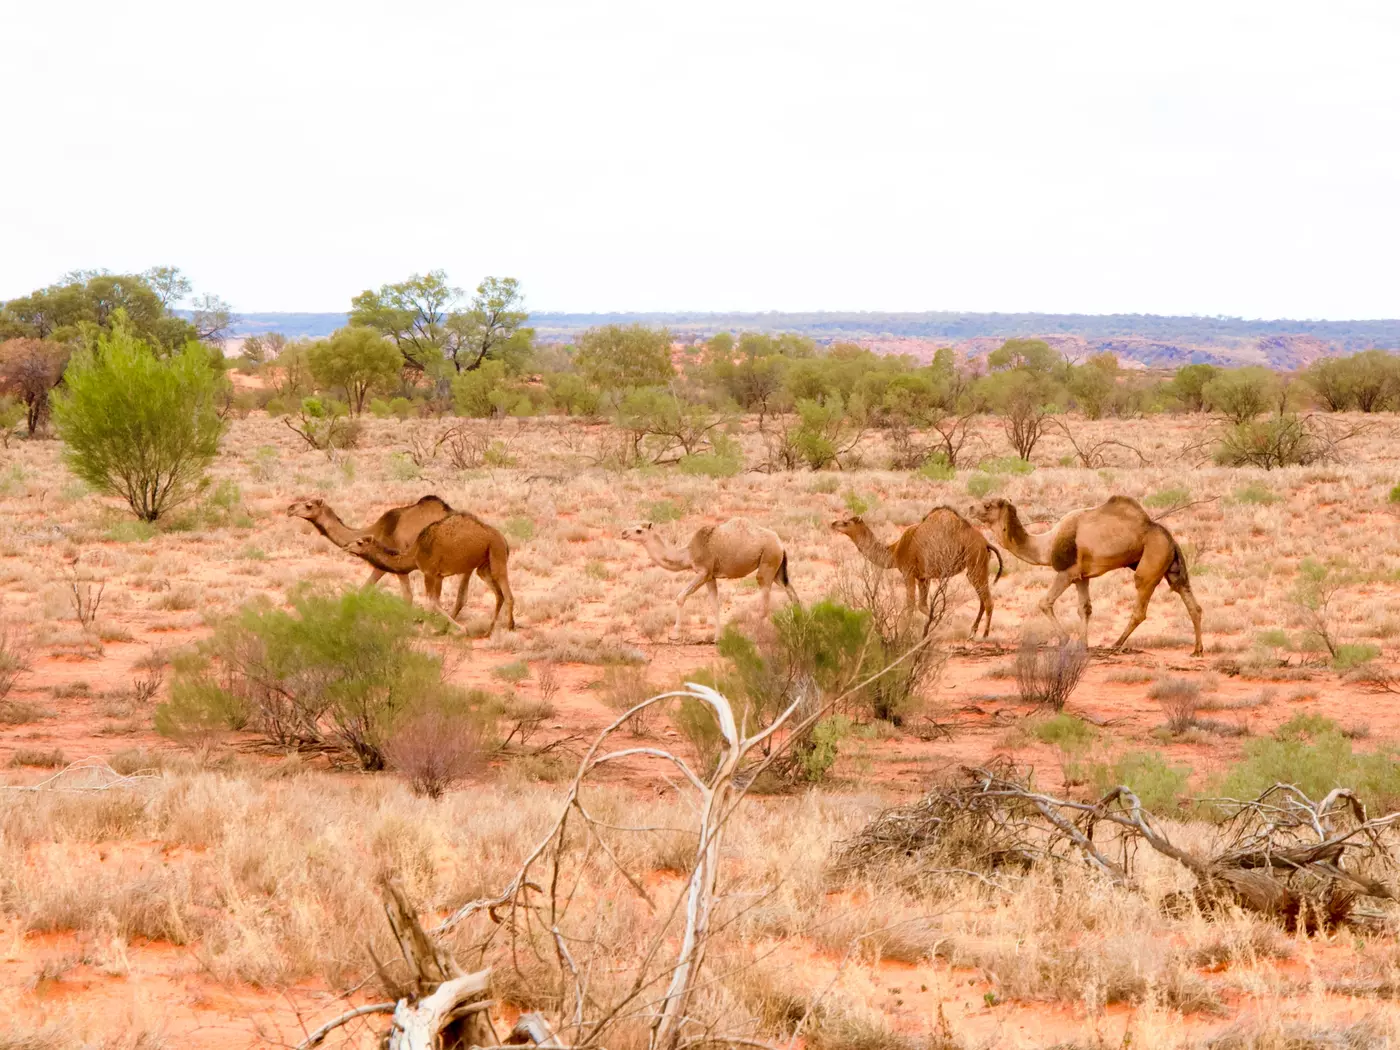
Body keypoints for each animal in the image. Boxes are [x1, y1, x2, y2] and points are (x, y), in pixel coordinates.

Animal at [345, 511, 515, 635]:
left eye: (359, 542)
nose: (346, 547)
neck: (414, 554)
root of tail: (503, 539)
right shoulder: (439, 576)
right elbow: (436, 601)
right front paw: (440, 628)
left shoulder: (428, 572)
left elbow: (430, 602)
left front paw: (433, 629)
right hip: (483, 565)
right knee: (498, 594)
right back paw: (488, 631)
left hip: (496, 552)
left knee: (506, 592)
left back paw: (509, 627)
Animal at [620, 518, 799, 642]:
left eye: (638, 530)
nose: (623, 533)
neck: (688, 554)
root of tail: (781, 544)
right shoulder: (710, 577)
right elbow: (715, 605)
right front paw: (717, 638)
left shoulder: (703, 572)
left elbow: (680, 597)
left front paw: (674, 635)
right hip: (777, 569)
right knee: (791, 592)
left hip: (768, 561)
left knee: (765, 599)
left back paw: (753, 636)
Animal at [829, 507, 1003, 637]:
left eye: (846, 522)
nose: (833, 523)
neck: (895, 551)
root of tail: (986, 543)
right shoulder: (923, 577)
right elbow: (923, 606)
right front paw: (936, 626)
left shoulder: (908, 572)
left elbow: (910, 605)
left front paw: (905, 633)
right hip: (979, 565)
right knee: (982, 598)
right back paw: (973, 631)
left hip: (975, 561)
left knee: (987, 600)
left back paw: (984, 635)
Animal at [967, 496, 1203, 656]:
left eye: (987, 505)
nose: (970, 507)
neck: (1046, 545)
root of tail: (1171, 539)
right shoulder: (1082, 577)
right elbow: (1085, 609)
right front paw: (1083, 644)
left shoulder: (1067, 572)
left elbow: (1045, 602)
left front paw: (1065, 640)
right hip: (1171, 566)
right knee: (1190, 600)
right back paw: (1197, 650)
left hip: (1151, 560)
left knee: (1140, 605)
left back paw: (1116, 644)